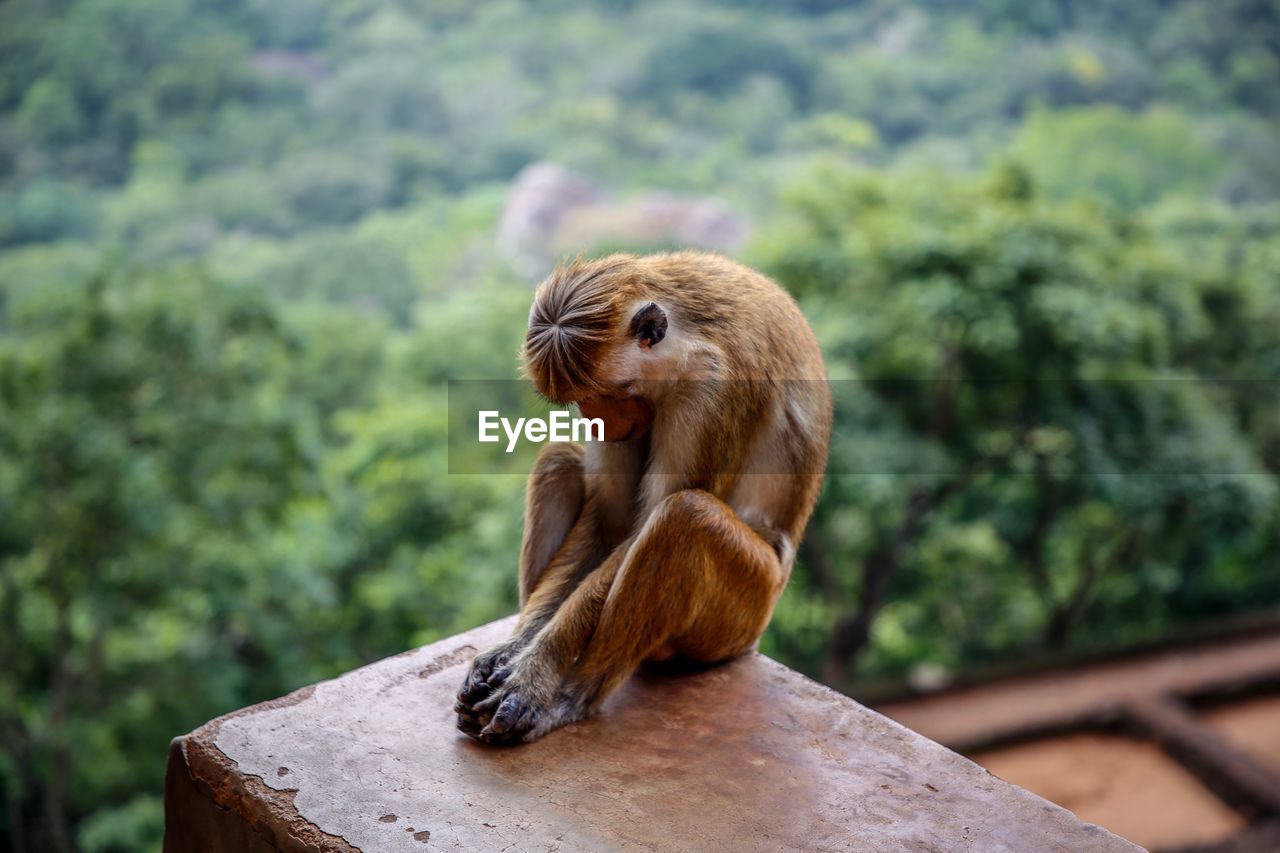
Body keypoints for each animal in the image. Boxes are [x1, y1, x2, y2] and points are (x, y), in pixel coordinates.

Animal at [455, 249, 834, 742]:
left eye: (605, 392)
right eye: (579, 399)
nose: (597, 421)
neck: (687, 338)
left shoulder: (714, 391)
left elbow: (642, 529)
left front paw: (536, 671)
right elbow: (610, 519)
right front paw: (513, 648)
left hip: (739, 618)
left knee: (684, 518)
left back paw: (572, 698)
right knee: (559, 460)